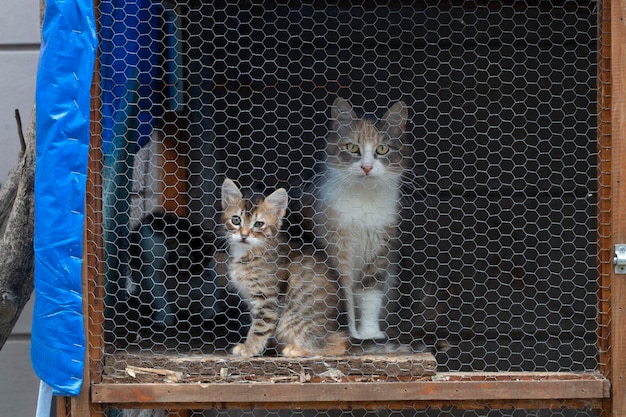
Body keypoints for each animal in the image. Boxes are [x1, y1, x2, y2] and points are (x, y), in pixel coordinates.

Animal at [219, 177, 346, 356]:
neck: (248, 253)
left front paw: (249, 348)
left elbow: (260, 327)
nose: (244, 235)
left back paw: (296, 349)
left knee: (337, 345)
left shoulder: (267, 298)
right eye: (236, 220)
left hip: (294, 317)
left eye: (258, 224)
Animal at [310, 97, 408, 342]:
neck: (365, 202)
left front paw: (370, 334)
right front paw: (354, 335)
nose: (366, 167)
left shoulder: (379, 250)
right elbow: (347, 297)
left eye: (382, 149)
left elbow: (370, 296)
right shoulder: (339, 248)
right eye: (353, 147)